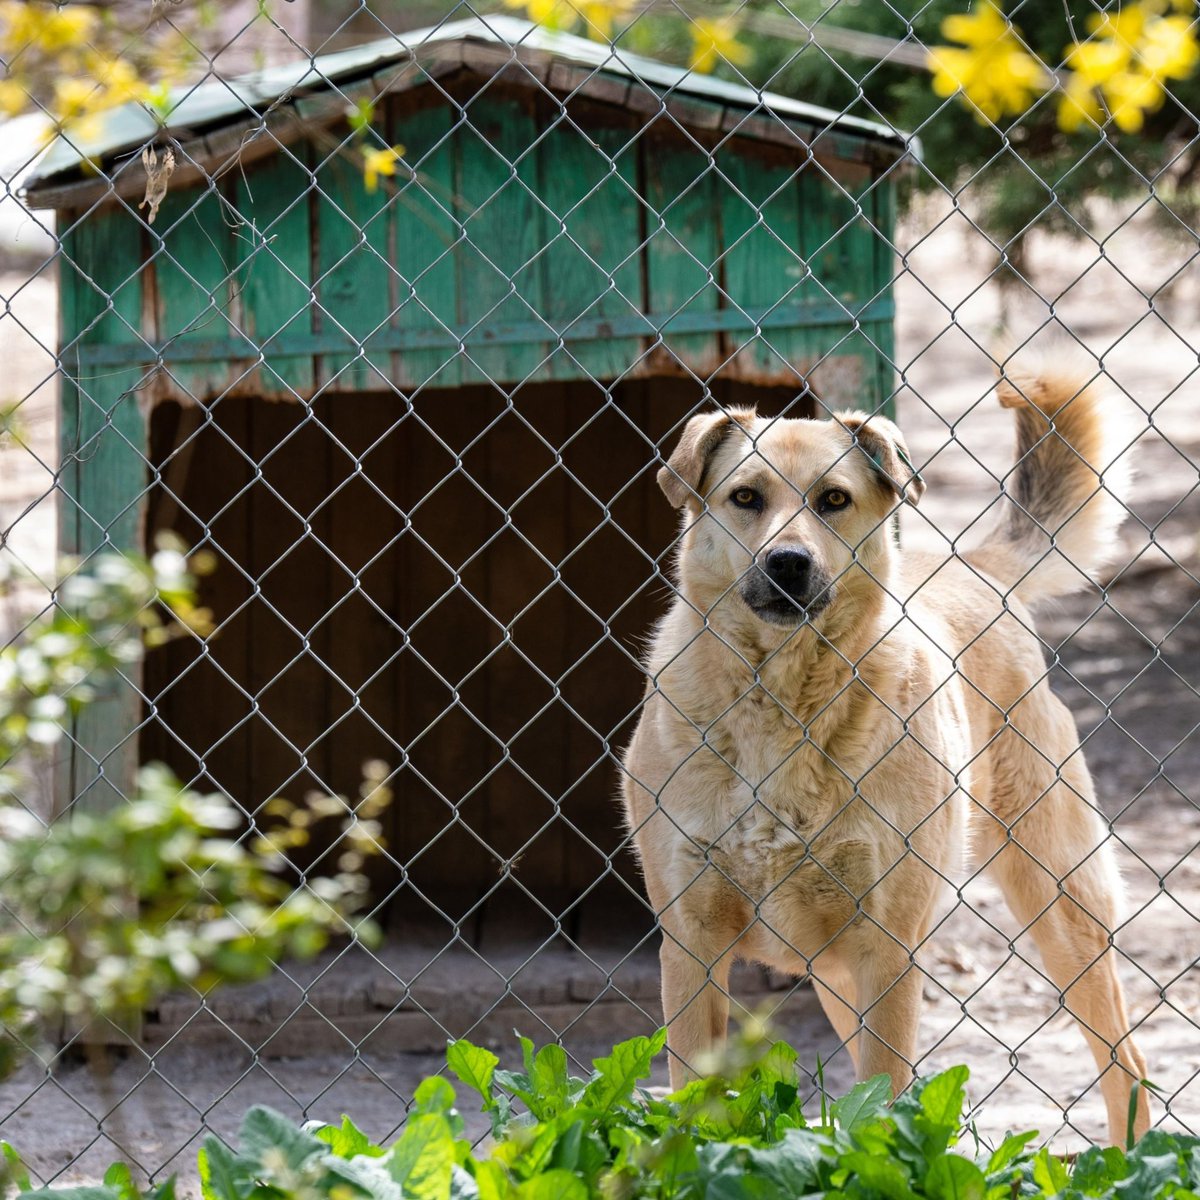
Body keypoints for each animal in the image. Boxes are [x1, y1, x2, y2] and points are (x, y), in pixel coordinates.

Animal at [624, 374, 1147, 1142]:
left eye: (834, 500)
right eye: (746, 497)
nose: (788, 563)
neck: (785, 706)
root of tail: (970, 567)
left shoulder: (889, 950)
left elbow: (883, 1112)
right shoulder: (693, 950)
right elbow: (697, 1109)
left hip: (1060, 907)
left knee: (1124, 1068)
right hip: (840, 977)